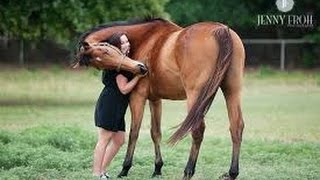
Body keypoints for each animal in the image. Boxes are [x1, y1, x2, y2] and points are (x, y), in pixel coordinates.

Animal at [75, 17, 245, 179]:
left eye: (106, 52)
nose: (140, 67)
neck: (146, 39)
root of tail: (222, 30)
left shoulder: (138, 97)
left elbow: (134, 132)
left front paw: (125, 169)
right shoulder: (155, 99)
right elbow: (155, 132)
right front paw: (157, 168)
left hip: (195, 95)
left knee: (197, 130)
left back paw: (188, 172)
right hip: (232, 90)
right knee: (236, 127)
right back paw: (232, 173)